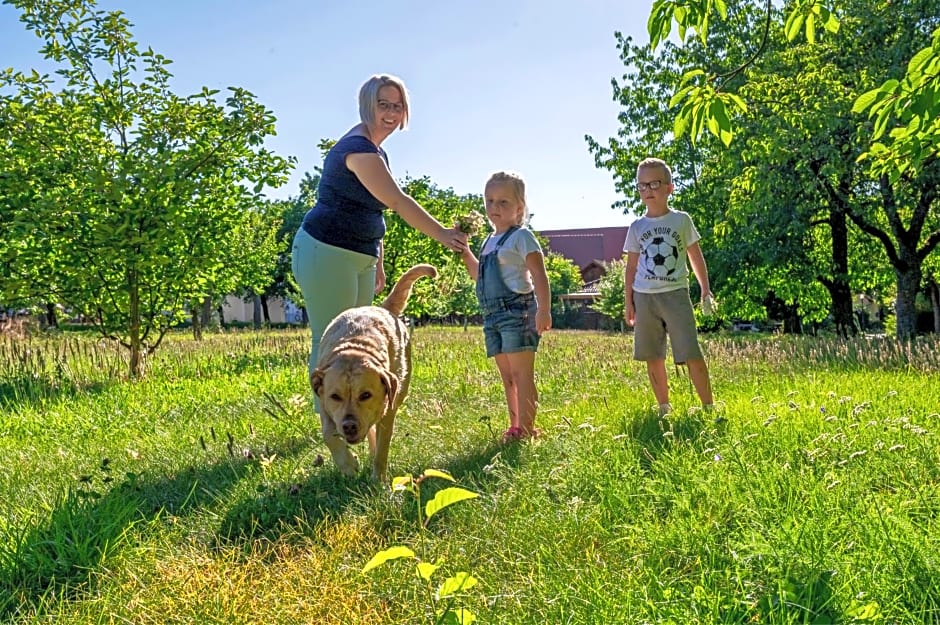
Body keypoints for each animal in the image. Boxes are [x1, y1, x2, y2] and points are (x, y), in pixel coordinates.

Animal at [312, 264, 436, 482]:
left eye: (366, 395)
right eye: (335, 396)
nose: (349, 426)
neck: (354, 346)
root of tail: (382, 308)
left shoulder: (387, 411)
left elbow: (382, 448)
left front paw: (378, 480)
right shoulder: (325, 405)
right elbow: (328, 434)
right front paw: (348, 464)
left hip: (400, 388)